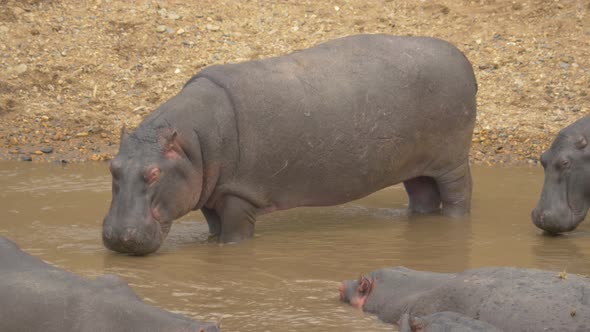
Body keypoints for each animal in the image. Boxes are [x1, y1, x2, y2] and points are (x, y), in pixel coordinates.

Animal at [104, 33, 478, 254]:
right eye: (113, 167)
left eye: (154, 174)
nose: (118, 238)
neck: (188, 145)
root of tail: (462, 58)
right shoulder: (212, 192)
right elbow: (213, 227)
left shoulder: (240, 193)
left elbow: (234, 235)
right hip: (416, 165)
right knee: (423, 196)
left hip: (452, 161)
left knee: (459, 195)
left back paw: (455, 223)